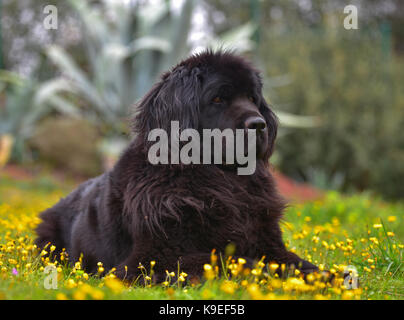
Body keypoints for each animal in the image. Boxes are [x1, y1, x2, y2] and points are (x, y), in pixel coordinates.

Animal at [34, 49, 318, 280]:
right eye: (218, 99)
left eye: (251, 98)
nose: (258, 124)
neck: (221, 178)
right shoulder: (156, 257)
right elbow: (233, 260)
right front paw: (269, 274)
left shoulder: (267, 240)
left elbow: (299, 263)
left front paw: (322, 278)